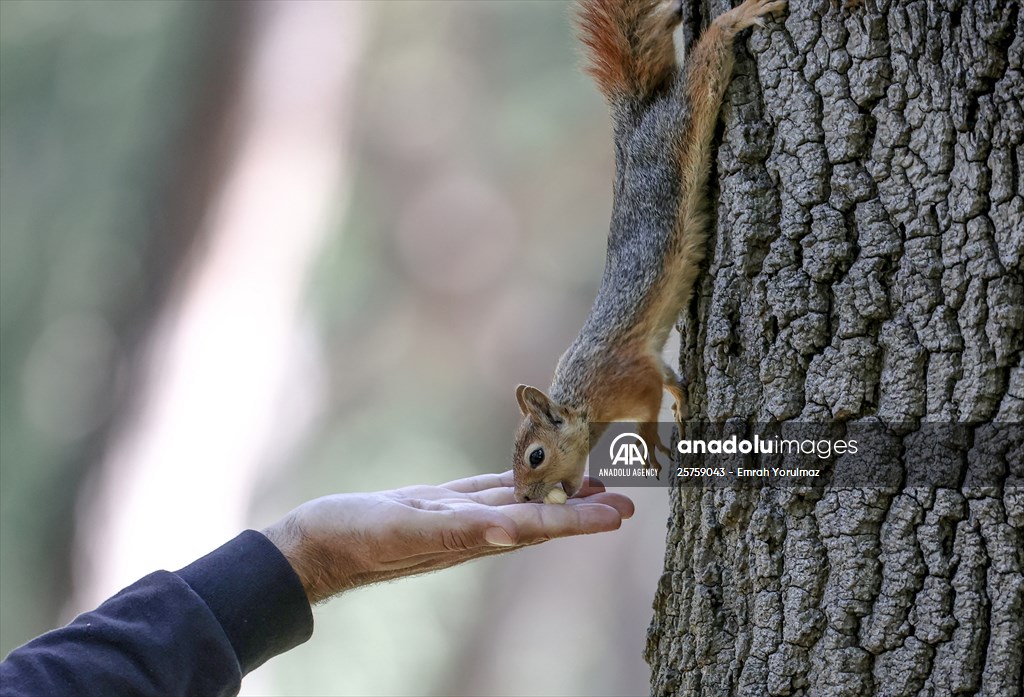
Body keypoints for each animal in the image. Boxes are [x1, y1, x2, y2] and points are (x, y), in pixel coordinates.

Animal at [512, 0, 786, 503]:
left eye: (536, 455)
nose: (522, 497)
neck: (583, 397)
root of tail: (634, 126)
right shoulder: (649, 364)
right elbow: (669, 377)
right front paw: (679, 404)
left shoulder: (630, 377)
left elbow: (650, 398)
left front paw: (648, 443)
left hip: (678, 124)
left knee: (703, 70)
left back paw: (734, 19)